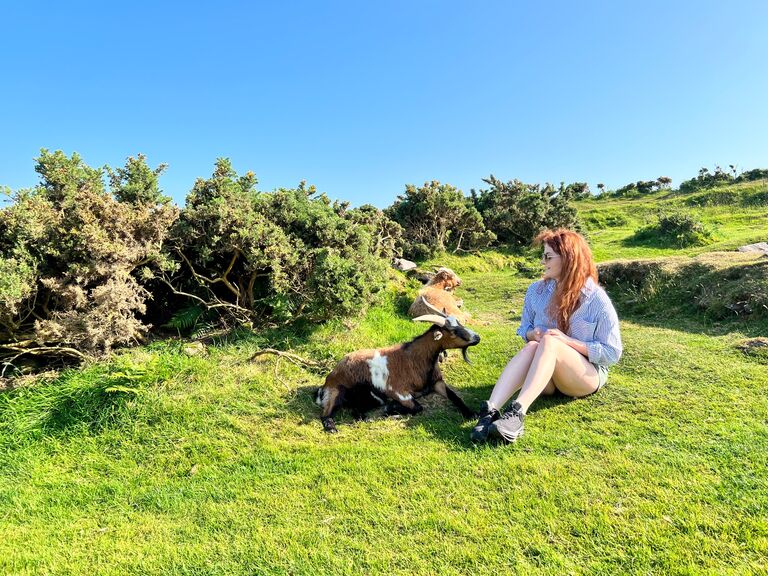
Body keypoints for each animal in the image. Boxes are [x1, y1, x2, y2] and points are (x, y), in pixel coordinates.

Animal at [314, 310, 480, 432]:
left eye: (459, 323)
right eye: (452, 331)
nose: (477, 337)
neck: (415, 359)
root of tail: (329, 379)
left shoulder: (437, 382)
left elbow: (456, 397)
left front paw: (471, 413)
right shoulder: (399, 392)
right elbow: (418, 407)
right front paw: (392, 409)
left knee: (356, 411)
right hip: (335, 391)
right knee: (326, 414)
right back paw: (332, 428)